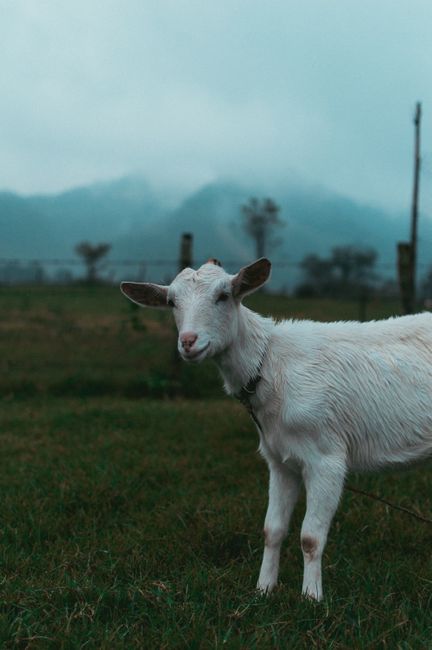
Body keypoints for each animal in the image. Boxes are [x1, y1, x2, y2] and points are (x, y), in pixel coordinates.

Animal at [121, 257, 432, 600]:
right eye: (171, 302)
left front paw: (311, 598)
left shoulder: (326, 459)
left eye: (224, 296)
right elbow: (272, 530)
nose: (189, 342)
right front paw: (264, 589)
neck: (269, 365)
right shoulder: (280, 459)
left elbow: (310, 537)